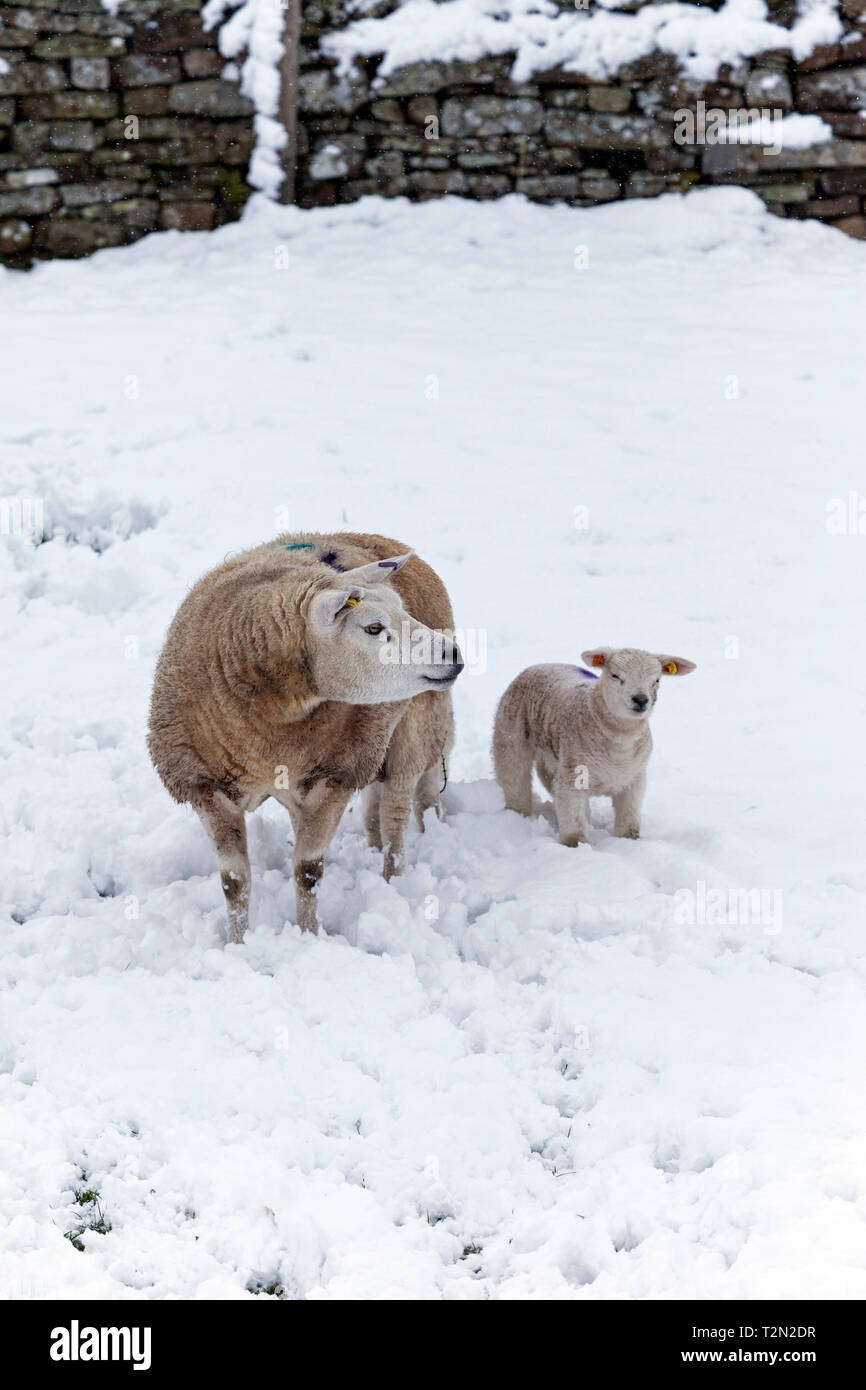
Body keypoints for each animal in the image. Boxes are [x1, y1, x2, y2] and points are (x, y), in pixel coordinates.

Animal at [150, 530, 464, 945]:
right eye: (373, 628)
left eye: (402, 609)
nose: (453, 654)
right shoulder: (204, 786)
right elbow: (234, 881)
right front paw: (237, 943)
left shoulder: (334, 776)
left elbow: (308, 872)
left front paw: (308, 937)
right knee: (375, 811)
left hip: (414, 728)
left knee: (398, 814)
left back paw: (392, 882)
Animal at [494, 647, 697, 845]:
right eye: (615, 675)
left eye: (656, 680)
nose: (640, 700)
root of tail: (545, 663)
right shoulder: (572, 777)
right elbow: (574, 831)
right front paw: (576, 846)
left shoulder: (634, 780)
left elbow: (628, 824)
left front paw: (627, 843)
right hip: (510, 737)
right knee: (514, 780)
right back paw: (516, 817)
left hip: (552, 759)